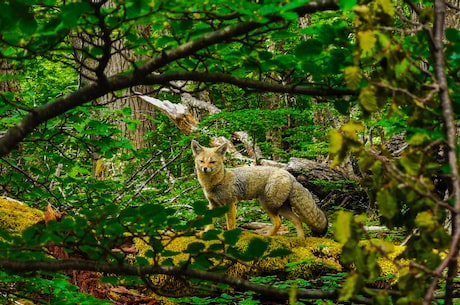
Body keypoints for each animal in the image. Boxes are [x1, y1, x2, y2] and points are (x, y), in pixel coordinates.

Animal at [190, 140, 328, 238]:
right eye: (201, 161)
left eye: (212, 162)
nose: (205, 168)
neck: (217, 182)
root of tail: (290, 175)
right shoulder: (213, 204)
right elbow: (209, 222)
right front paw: (205, 233)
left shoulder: (230, 203)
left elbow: (230, 224)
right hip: (280, 207)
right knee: (297, 220)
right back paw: (300, 240)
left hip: (268, 205)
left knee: (279, 222)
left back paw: (267, 236)